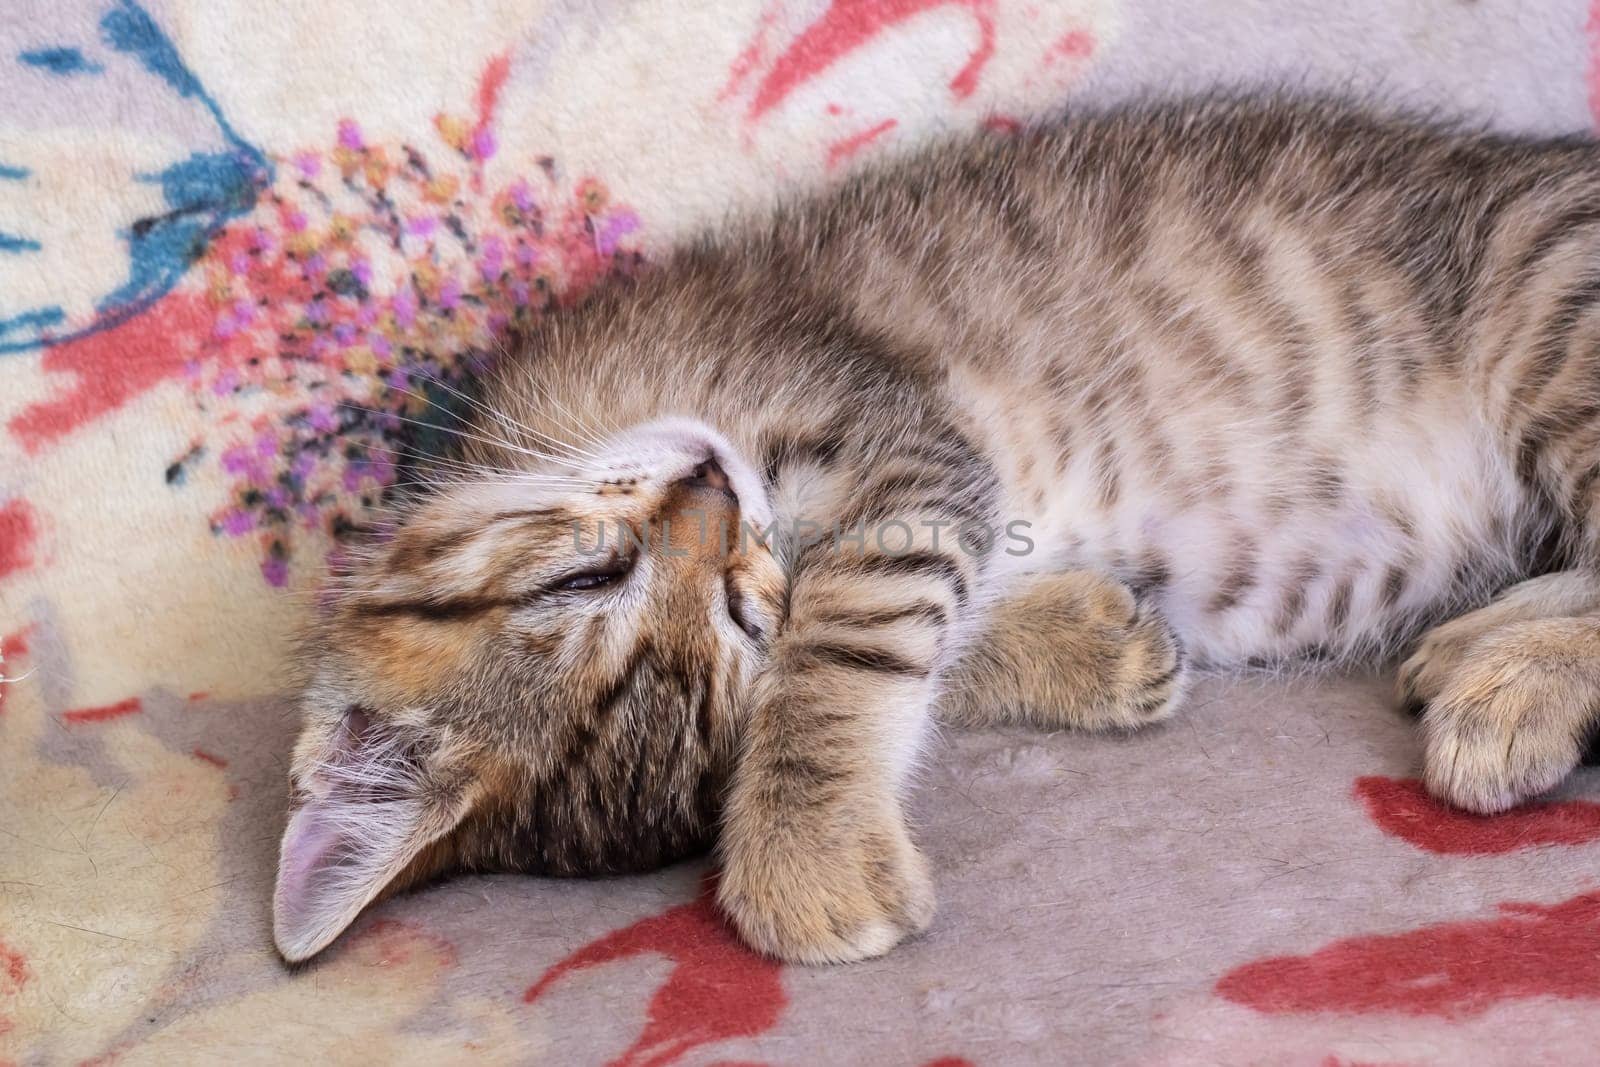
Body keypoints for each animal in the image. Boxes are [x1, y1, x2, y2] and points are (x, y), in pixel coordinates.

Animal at [281, 97, 1600, 966]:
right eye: (738, 617)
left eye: (587, 574)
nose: (715, 490)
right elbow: (908, 625)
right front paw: (1086, 639)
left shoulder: (896, 431)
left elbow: (852, 628)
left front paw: (801, 850)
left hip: (1550, 314)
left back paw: (1514, 686)